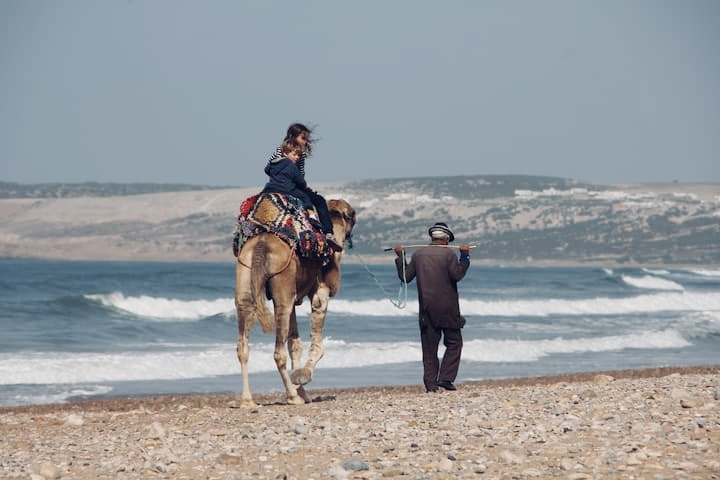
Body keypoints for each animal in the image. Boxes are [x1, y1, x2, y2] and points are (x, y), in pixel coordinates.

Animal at [234, 198, 356, 407]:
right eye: (352, 215)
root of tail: (261, 246)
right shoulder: (320, 291)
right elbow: (317, 344)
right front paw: (302, 378)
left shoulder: (293, 297)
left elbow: (295, 344)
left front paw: (303, 390)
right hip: (282, 287)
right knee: (278, 352)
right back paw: (292, 397)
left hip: (246, 278)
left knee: (243, 346)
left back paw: (248, 400)